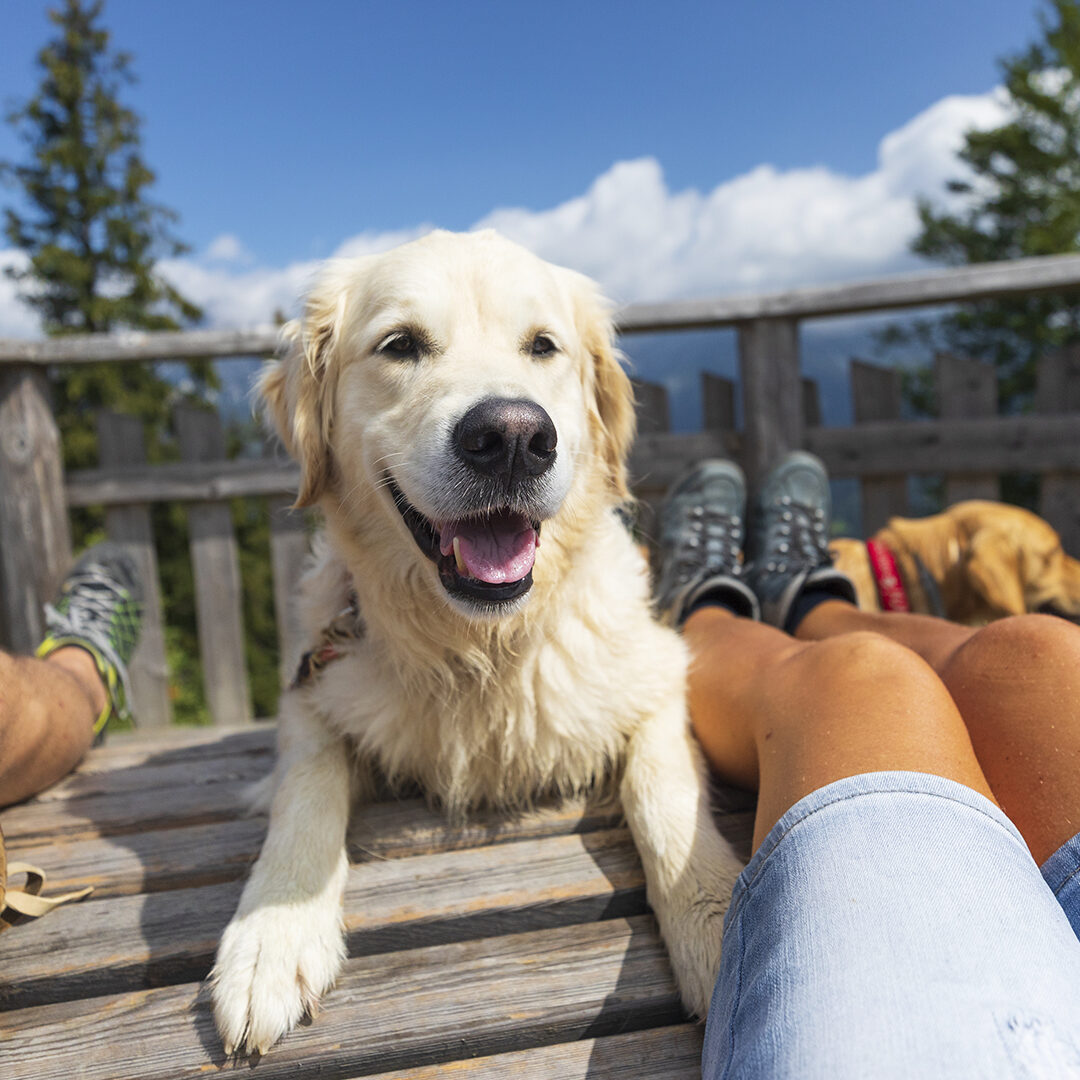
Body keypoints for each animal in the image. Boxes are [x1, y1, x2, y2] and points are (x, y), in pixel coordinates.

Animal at [212, 230, 743, 1054]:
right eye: (400, 344)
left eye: (543, 346)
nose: (514, 437)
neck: (482, 648)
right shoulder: (312, 692)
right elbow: (306, 788)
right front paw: (273, 934)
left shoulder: (659, 677)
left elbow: (665, 796)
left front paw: (722, 928)